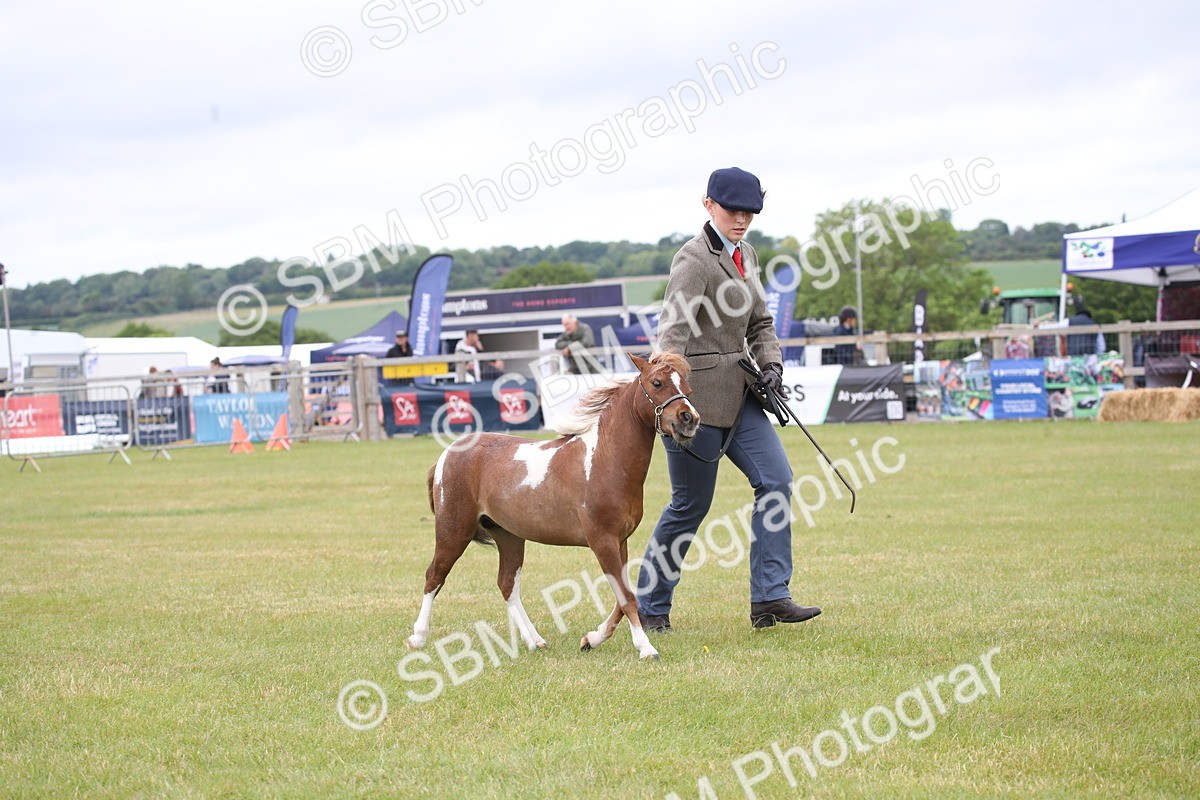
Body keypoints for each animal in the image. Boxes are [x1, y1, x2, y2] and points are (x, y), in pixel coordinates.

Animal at [405, 352, 700, 660]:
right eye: (657, 383)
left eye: (688, 389)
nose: (689, 419)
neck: (605, 460)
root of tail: (448, 453)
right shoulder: (602, 541)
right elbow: (627, 597)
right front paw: (645, 648)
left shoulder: (620, 541)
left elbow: (622, 597)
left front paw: (591, 639)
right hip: (453, 531)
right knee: (434, 577)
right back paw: (418, 637)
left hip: (509, 536)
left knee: (507, 584)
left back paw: (535, 640)